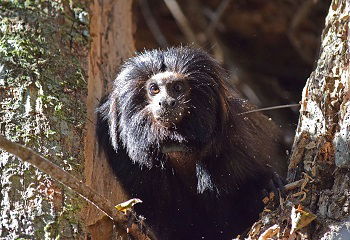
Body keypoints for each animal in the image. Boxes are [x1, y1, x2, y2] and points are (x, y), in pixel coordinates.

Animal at [95, 47, 284, 240]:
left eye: (177, 88)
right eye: (154, 89)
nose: (166, 102)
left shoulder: (238, 139)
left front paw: (267, 187)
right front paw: (139, 223)